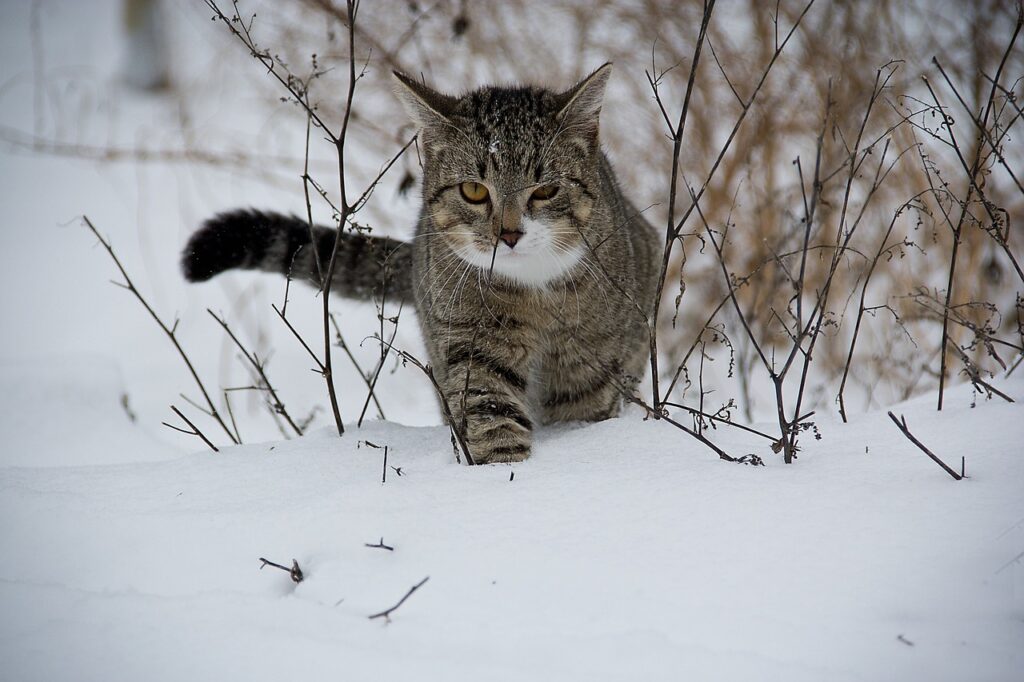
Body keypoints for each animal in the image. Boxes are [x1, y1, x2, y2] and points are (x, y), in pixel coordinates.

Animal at [182, 63, 663, 462]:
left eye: (545, 190)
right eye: (473, 190)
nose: (508, 234)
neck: (533, 291)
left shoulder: (590, 358)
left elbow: (582, 409)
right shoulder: (470, 340)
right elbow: (490, 412)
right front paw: (503, 473)